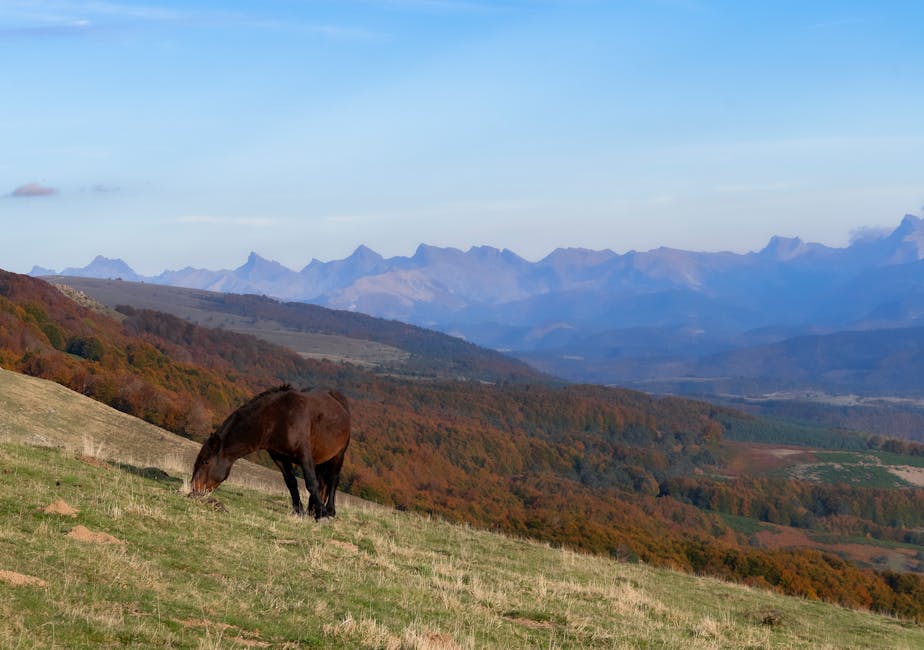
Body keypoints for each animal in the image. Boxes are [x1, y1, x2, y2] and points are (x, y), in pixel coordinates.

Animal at [188, 384, 350, 516]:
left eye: (205, 462)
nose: (194, 490)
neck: (278, 419)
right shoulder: (279, 458)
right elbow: (291, 483)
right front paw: (299, 511)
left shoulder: (304, 455)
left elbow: (311, 483)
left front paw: (322, 515)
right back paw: (313, 511)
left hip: (339, 454)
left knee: (333, 479)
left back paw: (329, 511)